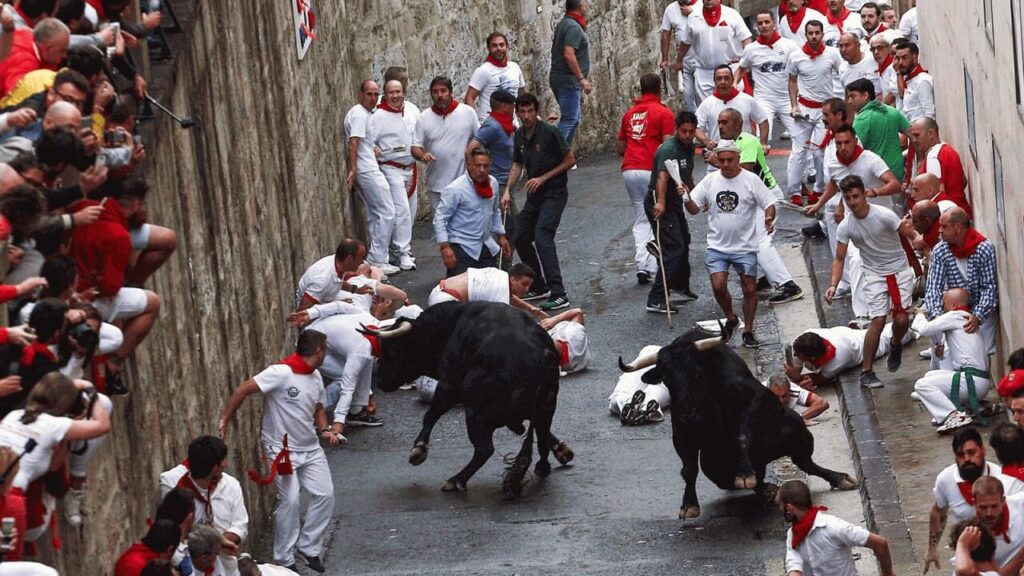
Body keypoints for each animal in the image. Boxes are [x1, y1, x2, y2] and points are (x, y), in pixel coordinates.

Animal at [360, 303, 573, 496]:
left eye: (393, 350)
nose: (382, 381)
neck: (450, 328)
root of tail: (538, 360)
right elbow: (544, 434)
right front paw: (562, 450)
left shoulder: (448, 385)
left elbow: (432, 414)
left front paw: (419, 450)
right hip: (546, 407)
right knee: (541, 435)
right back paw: (542, 466)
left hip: (476, 414)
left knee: (484, 449)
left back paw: (456, 480)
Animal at [618, 327, 860, 516]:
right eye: (666, 378)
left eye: (697, 370)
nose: (689, 414)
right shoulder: (681, 433)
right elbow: (688, 468)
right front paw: (688, 505)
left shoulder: (752, 404)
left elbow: (741, 435)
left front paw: (744, 475)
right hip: (713, 465)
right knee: (757, 477)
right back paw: (767, 489)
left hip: (799, 435)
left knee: (805, 462)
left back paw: (839, 478)